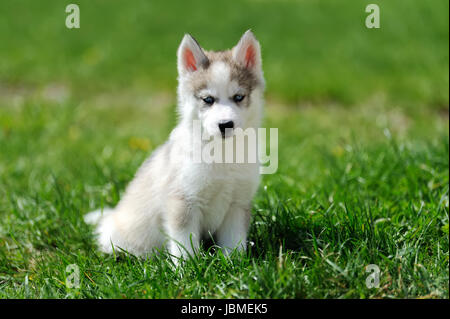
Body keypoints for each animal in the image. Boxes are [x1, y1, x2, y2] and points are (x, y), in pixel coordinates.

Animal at [85, 30, 264, 262]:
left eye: (239, 97)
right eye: (208, 100)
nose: (225, 125)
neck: (222, 155)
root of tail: (110, 217)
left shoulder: (237, 204)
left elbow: (234, 243)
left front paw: (234, 264)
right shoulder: (182, 201)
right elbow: (184, 245)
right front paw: (188, 268)